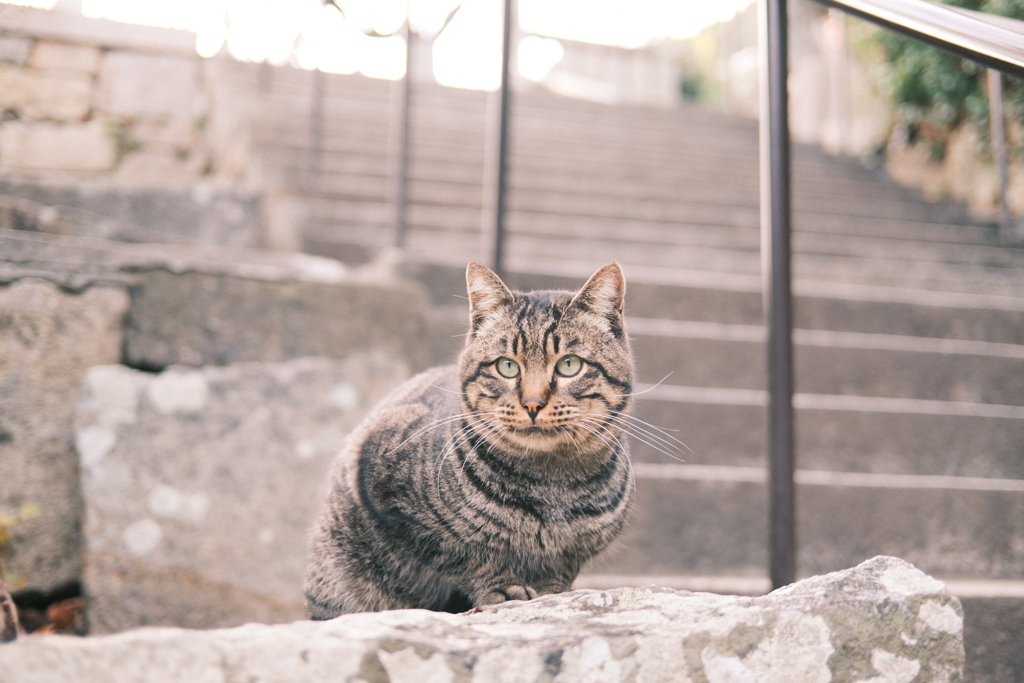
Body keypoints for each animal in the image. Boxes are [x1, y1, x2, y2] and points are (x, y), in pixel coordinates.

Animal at [305, 260, 630, 614]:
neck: (551, 487)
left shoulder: (574, 554)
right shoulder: (389, 489)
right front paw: (504, 587)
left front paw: (551, 592)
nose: (532, 404)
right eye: (507, 366)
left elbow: (559, 572)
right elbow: (465, 554)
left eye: (569, 365)